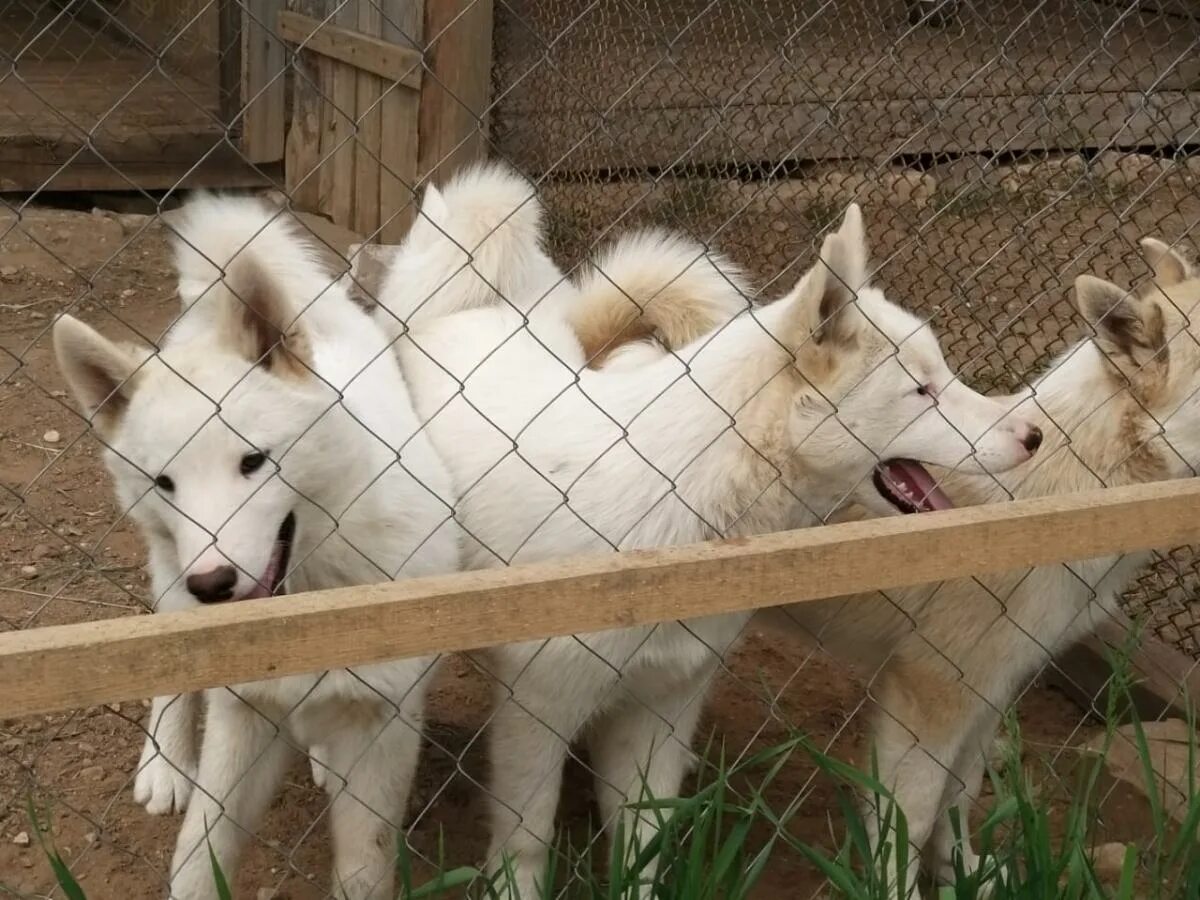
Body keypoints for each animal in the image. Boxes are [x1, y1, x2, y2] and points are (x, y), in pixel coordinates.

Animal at [51, 196, 456, 900]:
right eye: (165, 482)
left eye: (253, 461)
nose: (213, 586)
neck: (308, 598)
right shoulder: (240, 715)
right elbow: (199, 853)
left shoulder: (384, 725)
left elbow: (364, 866)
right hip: (169, 573)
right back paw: (165, 764)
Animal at [381, 170, 1041, 900]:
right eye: (922, 391)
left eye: (944, 375)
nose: (1033, 435)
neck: (675, 502)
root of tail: (470, 306)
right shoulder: (538, 711)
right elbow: (526, 845)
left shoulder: (664, 706)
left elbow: (642, 842)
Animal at [753, 236, 1200, 897]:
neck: (1064, 491)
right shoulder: (930, 702)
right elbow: (906, 824)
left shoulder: (989, 696)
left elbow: (958, 806)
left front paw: (966, 877)